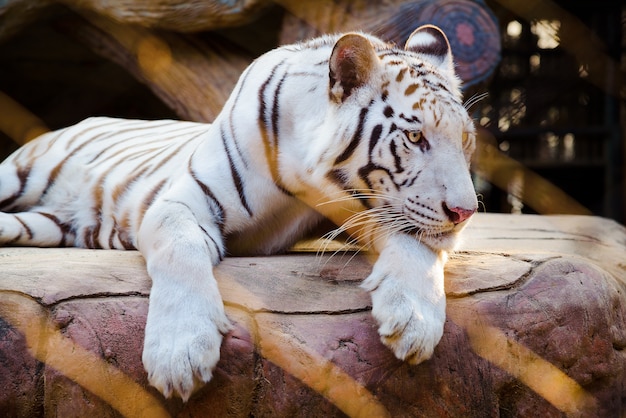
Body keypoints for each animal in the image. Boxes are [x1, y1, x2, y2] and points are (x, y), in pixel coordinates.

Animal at [0, 24, 476, 400]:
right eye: (414, 137)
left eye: (466, 141)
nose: (466, 212)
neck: (305, 176)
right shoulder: (181, 201)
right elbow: (180, 248)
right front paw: (179, 350)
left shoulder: (367, 211)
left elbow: (415, 243)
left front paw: (414, 319)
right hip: (18, 174)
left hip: (42, 226)